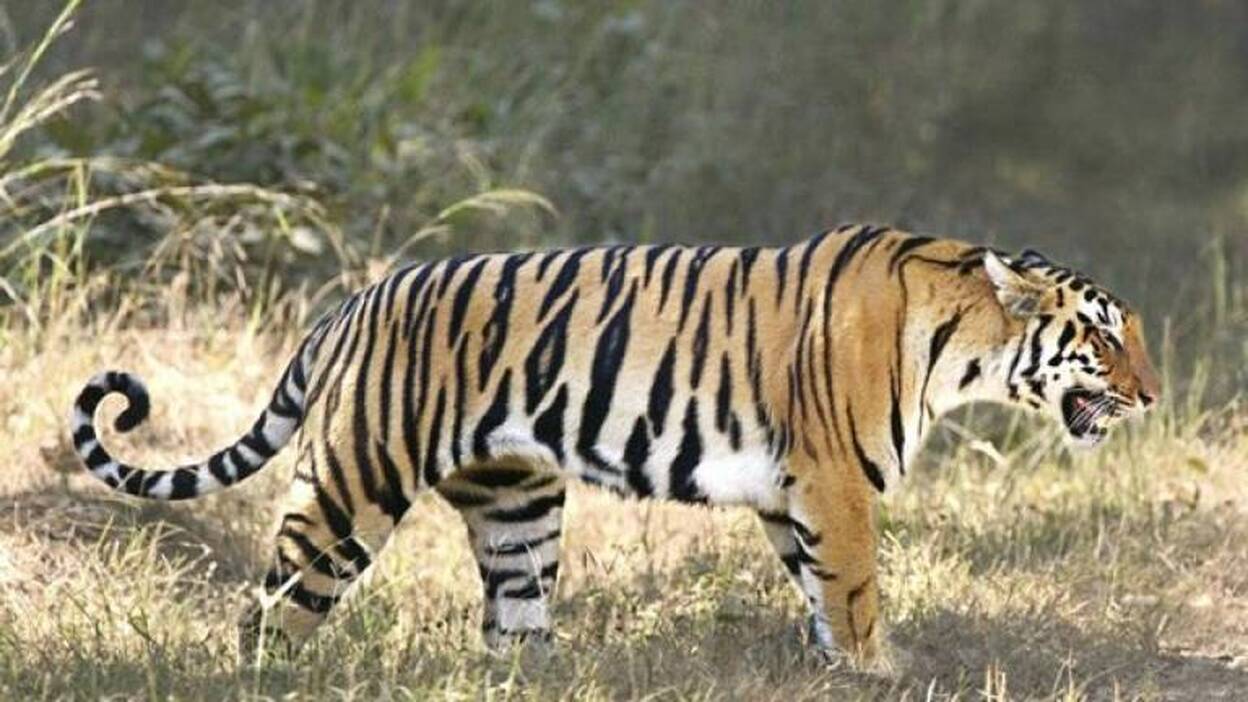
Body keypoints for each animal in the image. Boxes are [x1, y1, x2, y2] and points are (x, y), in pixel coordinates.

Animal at [69, 224, 1160, 670]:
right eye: (1104, 337)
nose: (1152, 397)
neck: (964, 341)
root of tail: (351, 303)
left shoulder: (792, 491)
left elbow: (818, 591)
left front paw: (837, 666)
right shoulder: (834, 481)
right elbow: (853, 591)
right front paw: (875, 670)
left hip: (517, 503)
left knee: (511, 624)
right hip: (352, 484)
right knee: (269, 610)